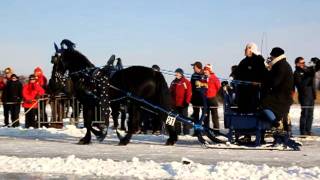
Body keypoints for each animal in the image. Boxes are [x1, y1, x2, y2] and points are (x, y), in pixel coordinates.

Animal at [49, 40, 178, 146]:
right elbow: (91, 122)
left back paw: (124, 140)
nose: (52, 83)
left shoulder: (88, 103)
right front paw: (95, 134)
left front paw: (92, 136)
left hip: (136, 103)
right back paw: (171, 138)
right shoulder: (94, 104)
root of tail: (154, 73)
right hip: (150, 102)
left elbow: (88, 122)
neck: (87, 77)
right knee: (165, 115)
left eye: (55, 61)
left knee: (135, 123)